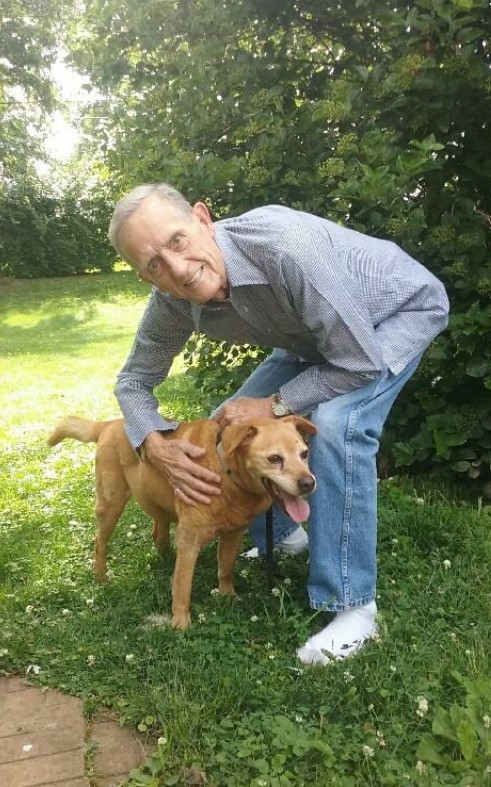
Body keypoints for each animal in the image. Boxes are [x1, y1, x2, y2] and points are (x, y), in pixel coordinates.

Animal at [48, 416, 318, 632]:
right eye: (274, 459)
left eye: (304, 454)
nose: (308, 483)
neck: (226, 472)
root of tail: (110, 423)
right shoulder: (189, 540)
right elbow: (182, 587)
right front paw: (180, 623)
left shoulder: (233, 534)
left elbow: (225, 569)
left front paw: (227, 596)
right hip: (111, 505)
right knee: (100, 542)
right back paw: (101, 576)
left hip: (159, 503)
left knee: (158, 534)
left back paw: (166, 558)